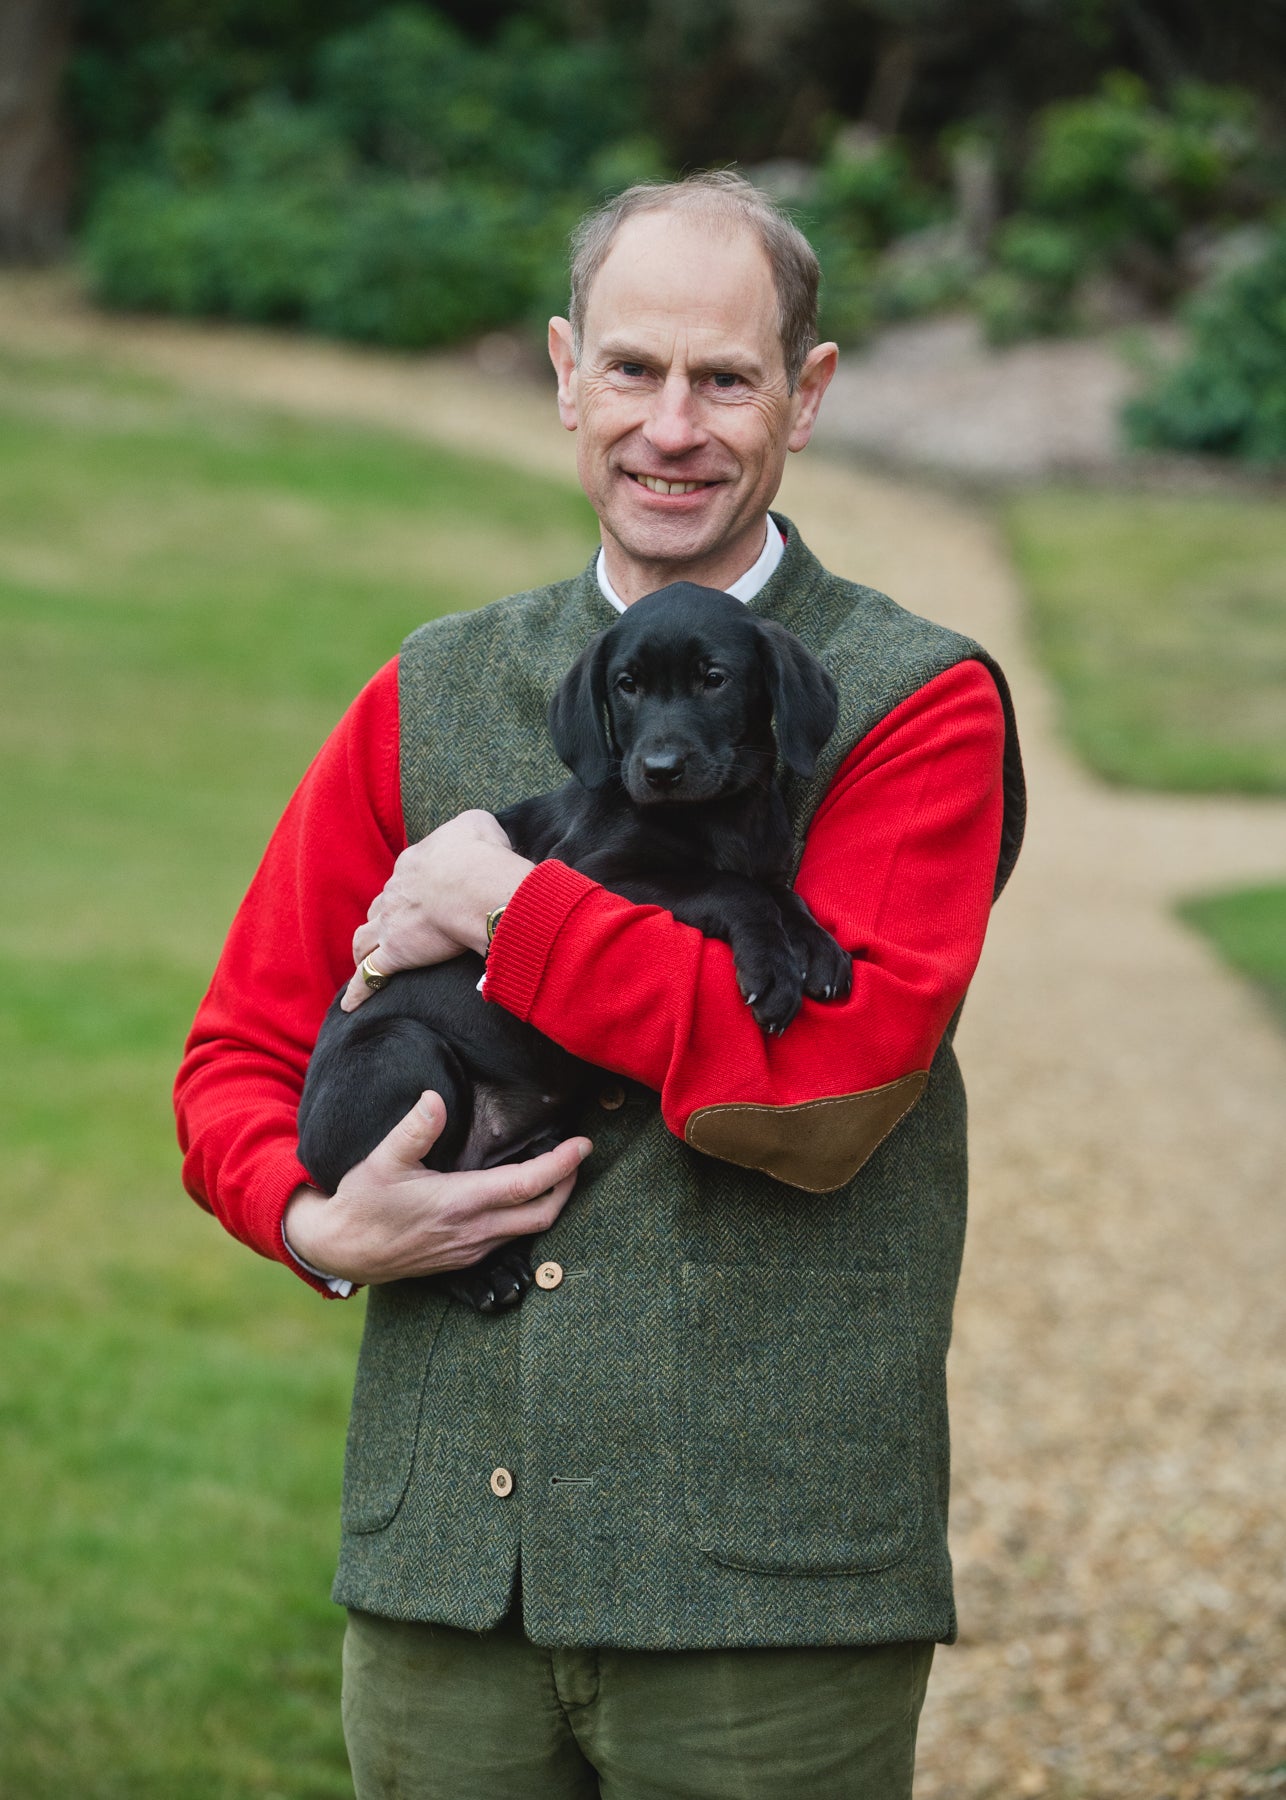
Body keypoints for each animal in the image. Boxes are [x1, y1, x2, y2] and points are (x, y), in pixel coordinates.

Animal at [293, 586, 846, 1310]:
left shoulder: (763, 864)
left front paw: (818, 950)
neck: (722, 815)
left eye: (715, 678)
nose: (658, 772)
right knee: (418, 1219)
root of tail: (310, 1158)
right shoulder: (599, 877)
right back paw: (482, 1274)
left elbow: (781, 895)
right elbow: (730, 888)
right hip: (401, 1053)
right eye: (627, 685)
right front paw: (773, 970)